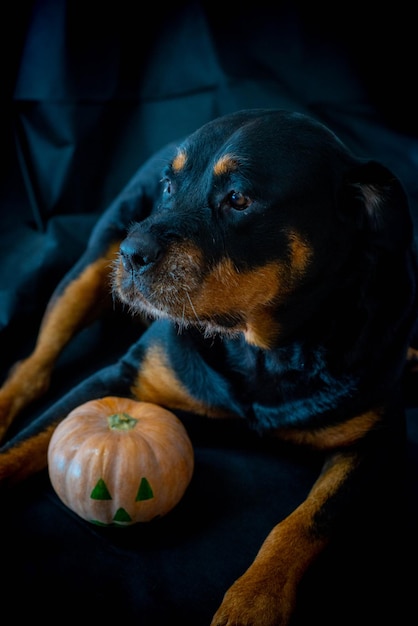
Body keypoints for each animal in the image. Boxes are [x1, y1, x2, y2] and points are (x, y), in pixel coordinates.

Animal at [0, 109, 418, 620]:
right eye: (168, 187)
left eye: (238, 198)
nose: (131, 253)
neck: (262, 352)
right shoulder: (119, 376)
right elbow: (22, 446)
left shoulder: (378, 441)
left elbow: (304, 521)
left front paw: (255, 599)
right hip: (91, 264)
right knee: (32, 365)